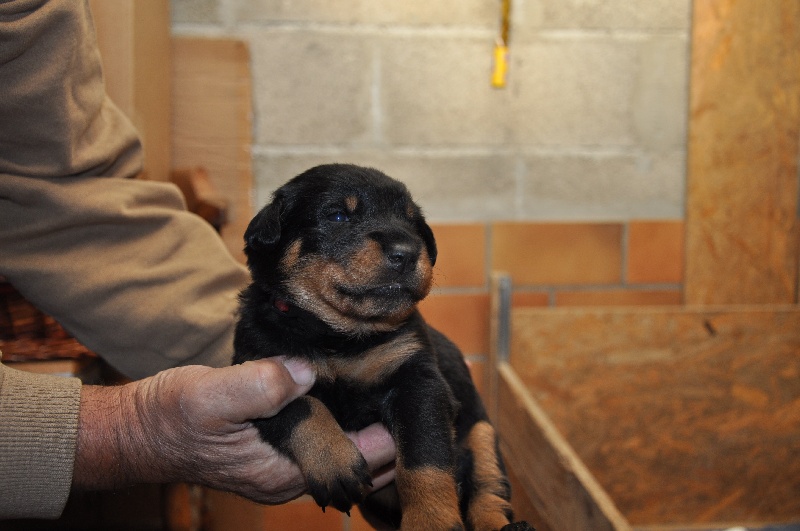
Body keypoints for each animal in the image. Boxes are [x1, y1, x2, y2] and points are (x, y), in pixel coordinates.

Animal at [233, 164, 533, 531]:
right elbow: (300, 406)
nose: (407, 252)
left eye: (412, 224)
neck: (338, 337)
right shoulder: (260, 365)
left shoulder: (417, 380)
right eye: (337, 215)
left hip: (482, 432)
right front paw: (333, 461)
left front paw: (431, 521)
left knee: (487, 493)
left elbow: (424, 457)